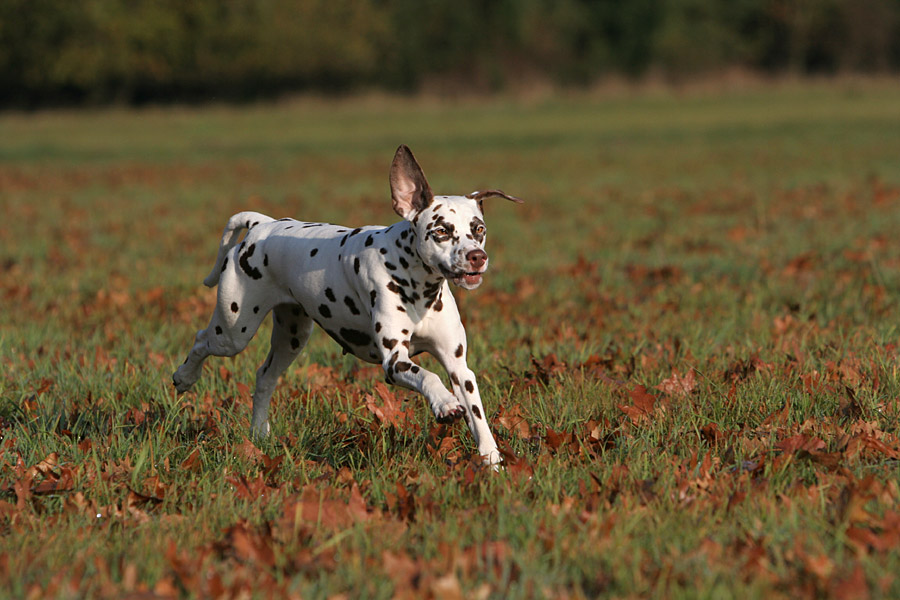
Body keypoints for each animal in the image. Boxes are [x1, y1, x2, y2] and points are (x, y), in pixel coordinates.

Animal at [174, 146, 520, 468]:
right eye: (442, 231)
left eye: (478, 229)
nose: (477, 257)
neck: (418, 284)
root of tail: (262, 225)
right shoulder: (395, 362)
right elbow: (428, 376)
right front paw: (445, 403)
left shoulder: (459, 368)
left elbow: (478, 417)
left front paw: (492, 462)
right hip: (234, 332)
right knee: (202, 339)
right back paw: (184, 376)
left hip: (291, 338)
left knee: (265, 377)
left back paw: (259, 433)